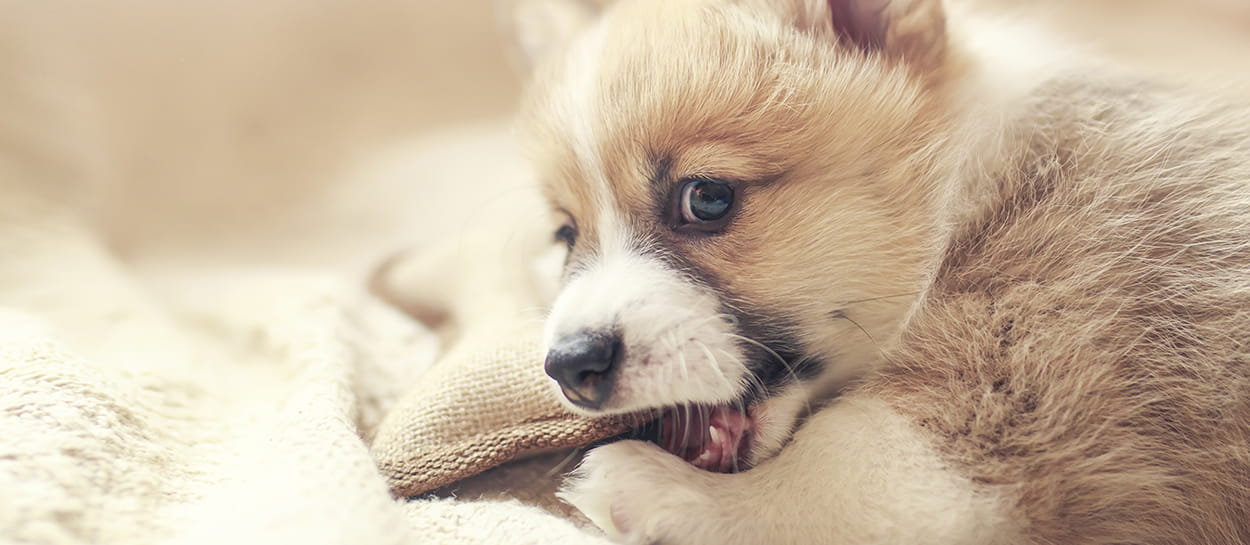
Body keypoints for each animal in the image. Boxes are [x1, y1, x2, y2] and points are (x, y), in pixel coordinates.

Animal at [505, 1, 1250, 540]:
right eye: (567, 236)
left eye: (706, 198)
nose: (571, 366)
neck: (966, 182)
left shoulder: (1016, 377)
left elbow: (833, 473)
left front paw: (657, 488)